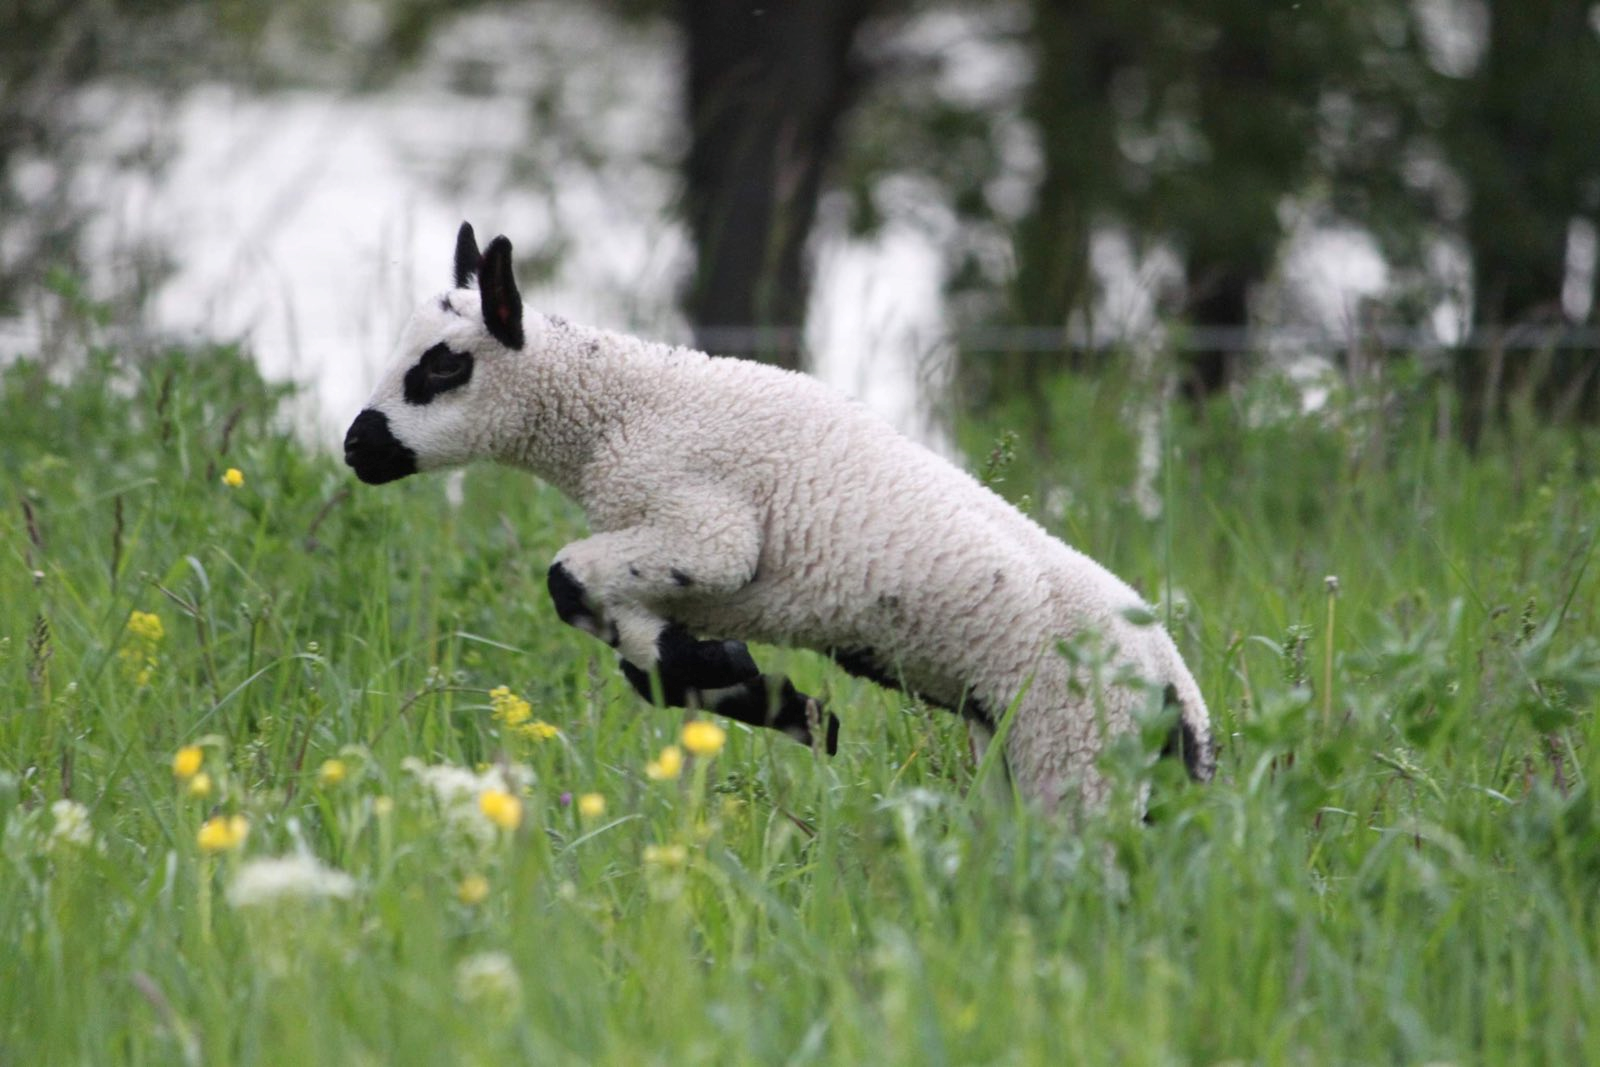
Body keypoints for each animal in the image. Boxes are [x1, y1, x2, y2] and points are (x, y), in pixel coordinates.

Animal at [340, 225, 1209, 809]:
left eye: (443, 365)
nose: (356, 446)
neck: (617, 411)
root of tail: (1182, 700)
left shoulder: (708, 530)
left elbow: (570, 579)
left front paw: (771, 698)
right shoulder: (686, 569)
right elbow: (636, 652)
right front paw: (755, 691)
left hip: (1080, 753)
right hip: (1023, 749)